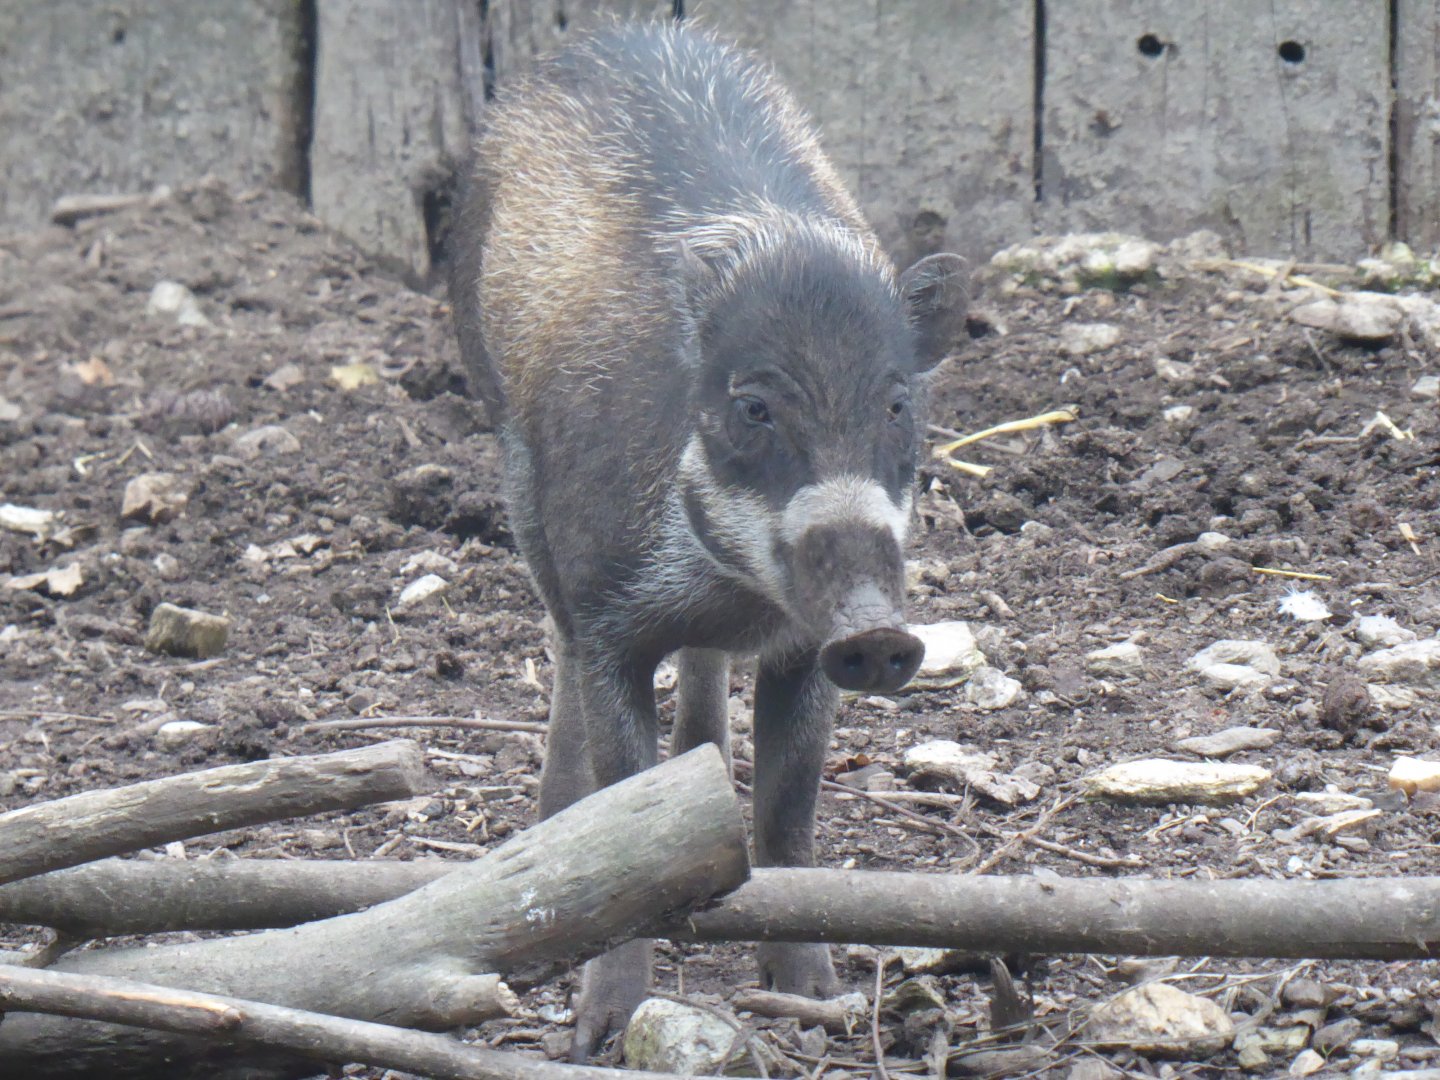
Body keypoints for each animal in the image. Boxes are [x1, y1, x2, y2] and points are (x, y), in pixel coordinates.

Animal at [449, 21, 968, 1059]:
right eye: (754, 405)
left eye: (897, 402)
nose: (878, 632)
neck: (728, 585)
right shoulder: (610, 619)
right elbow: (624, 805)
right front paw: (600, 1034)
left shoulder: (806, 650)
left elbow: (789, 810)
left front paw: (816, 1002)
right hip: (507, 449)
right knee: (557, 647)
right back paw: (552, 824)